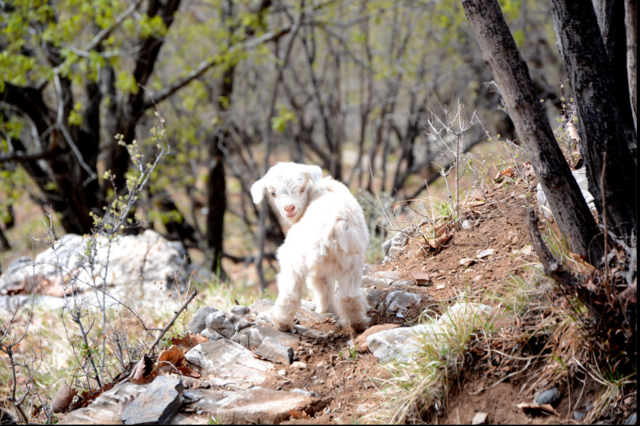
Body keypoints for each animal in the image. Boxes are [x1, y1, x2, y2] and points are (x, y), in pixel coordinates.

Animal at [251, 162, 371, 332]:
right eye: (273, 193)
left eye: (302, 189)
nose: (289, 208)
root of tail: (331, 229)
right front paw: (329, 310)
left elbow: (322, 286)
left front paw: (326, 310)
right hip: (351, 261)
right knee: (348, 295)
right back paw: (357, 323)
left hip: (295, 258)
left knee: (294, 291)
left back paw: (282, 323)